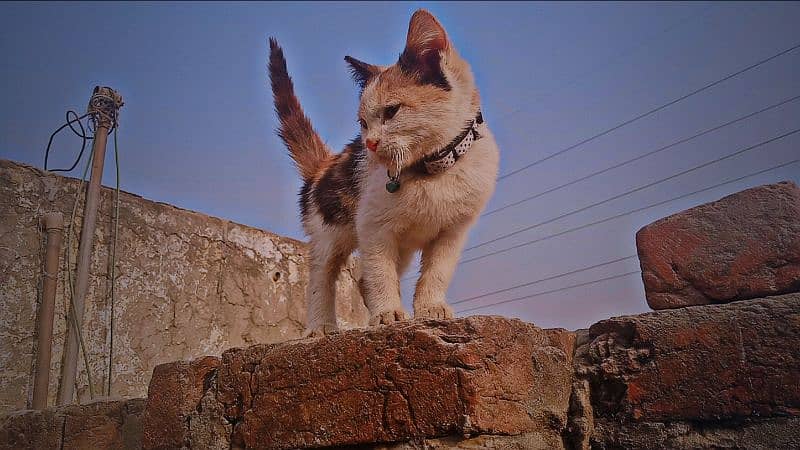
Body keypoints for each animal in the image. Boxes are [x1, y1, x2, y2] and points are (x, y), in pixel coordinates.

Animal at [272, 8, 504, 334]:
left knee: (361, 279)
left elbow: (438, 271)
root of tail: (324, 166)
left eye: (391, 111)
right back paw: (320, 326)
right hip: (328, 232)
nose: (369, 143)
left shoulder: (455, 230)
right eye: (363, 123)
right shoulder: (373, 227)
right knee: (322, 275)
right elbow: (380, 272)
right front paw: (387, 313)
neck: (432, 170)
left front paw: (431, 307)